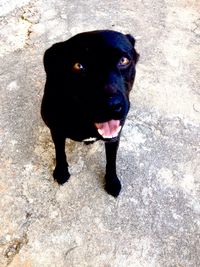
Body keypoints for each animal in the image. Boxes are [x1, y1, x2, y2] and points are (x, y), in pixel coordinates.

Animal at [41, 29, 139, 197]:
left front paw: (112, 181)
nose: (112, 105)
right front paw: (61, 171)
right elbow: (60, 152)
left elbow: (111, 161)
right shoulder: (56, 131)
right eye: (78, 66)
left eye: (123, 60)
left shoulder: (114, 137)